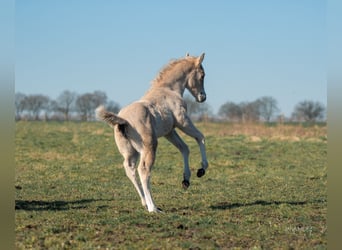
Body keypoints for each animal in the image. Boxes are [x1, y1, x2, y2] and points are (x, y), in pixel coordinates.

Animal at [95, 52, 208, 213]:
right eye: (203, 75)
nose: (202, 97)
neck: (168, 89)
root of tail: (123, 120)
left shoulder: (169, 131)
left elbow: (184, 148)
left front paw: (186, 180)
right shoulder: (183, 122)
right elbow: (200, 137)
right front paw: (202, 169)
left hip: (131, 152)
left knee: (130, 170)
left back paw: (144, 202)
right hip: (150, 146)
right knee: (143, 171)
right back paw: (153, 208)